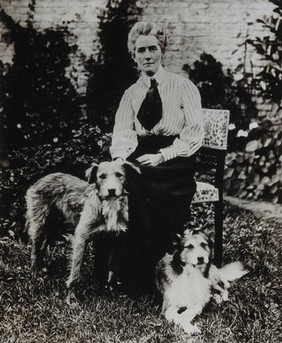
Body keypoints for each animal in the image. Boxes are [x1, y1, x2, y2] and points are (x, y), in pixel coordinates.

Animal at [25, 160, 139, 302]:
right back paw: (35, 275)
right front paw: (72, 298)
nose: (111, 191)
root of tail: (44, 177)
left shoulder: (116, 240)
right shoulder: (81, 238)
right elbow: (75, 272)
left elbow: (112, 268)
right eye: (102, 176)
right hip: (39, 225)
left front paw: (110, 291)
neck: (108, 206)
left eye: (119, 175)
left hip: (53, 227)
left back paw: (42, 270)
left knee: (42, 247)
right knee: (35, 250)